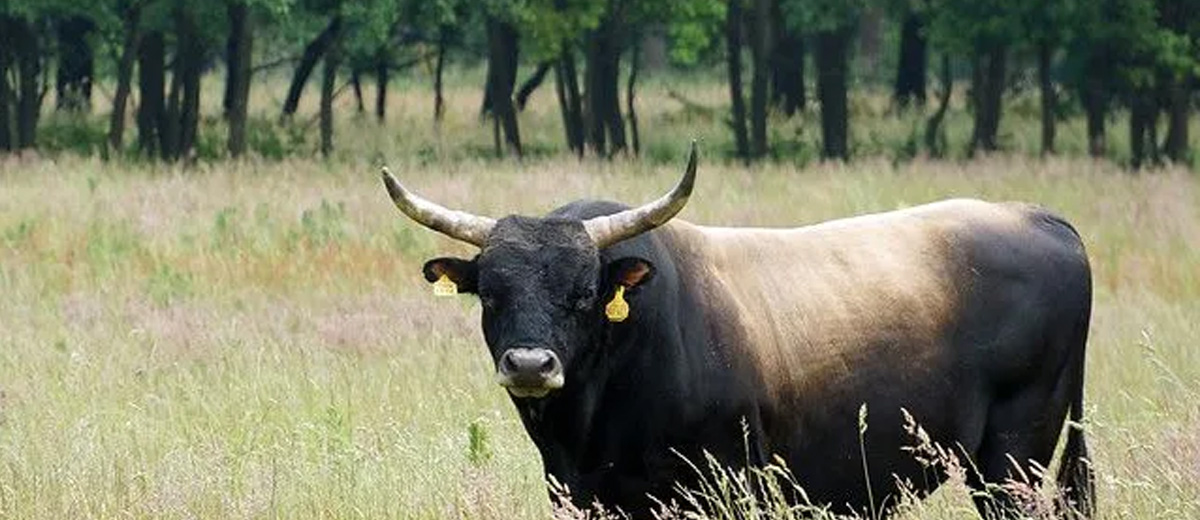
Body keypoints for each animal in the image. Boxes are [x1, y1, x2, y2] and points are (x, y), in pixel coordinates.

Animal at [379, 139, 1094, 516]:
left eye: (584, 295)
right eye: (491, 294)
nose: (530, 365)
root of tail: (1041, 217)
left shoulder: (719, 484)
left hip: (1013, 456)